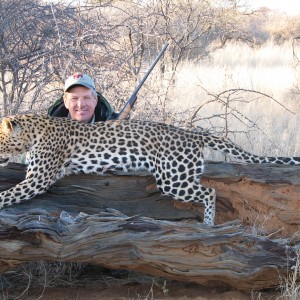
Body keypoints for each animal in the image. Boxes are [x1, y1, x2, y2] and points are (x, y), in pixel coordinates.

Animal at [0, 115, 300, 225]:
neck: (33, 129)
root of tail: (192, 134)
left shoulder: (37, 179)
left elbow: (5, 194)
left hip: (172, 178)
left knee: (210, 191)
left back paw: (208, 224)